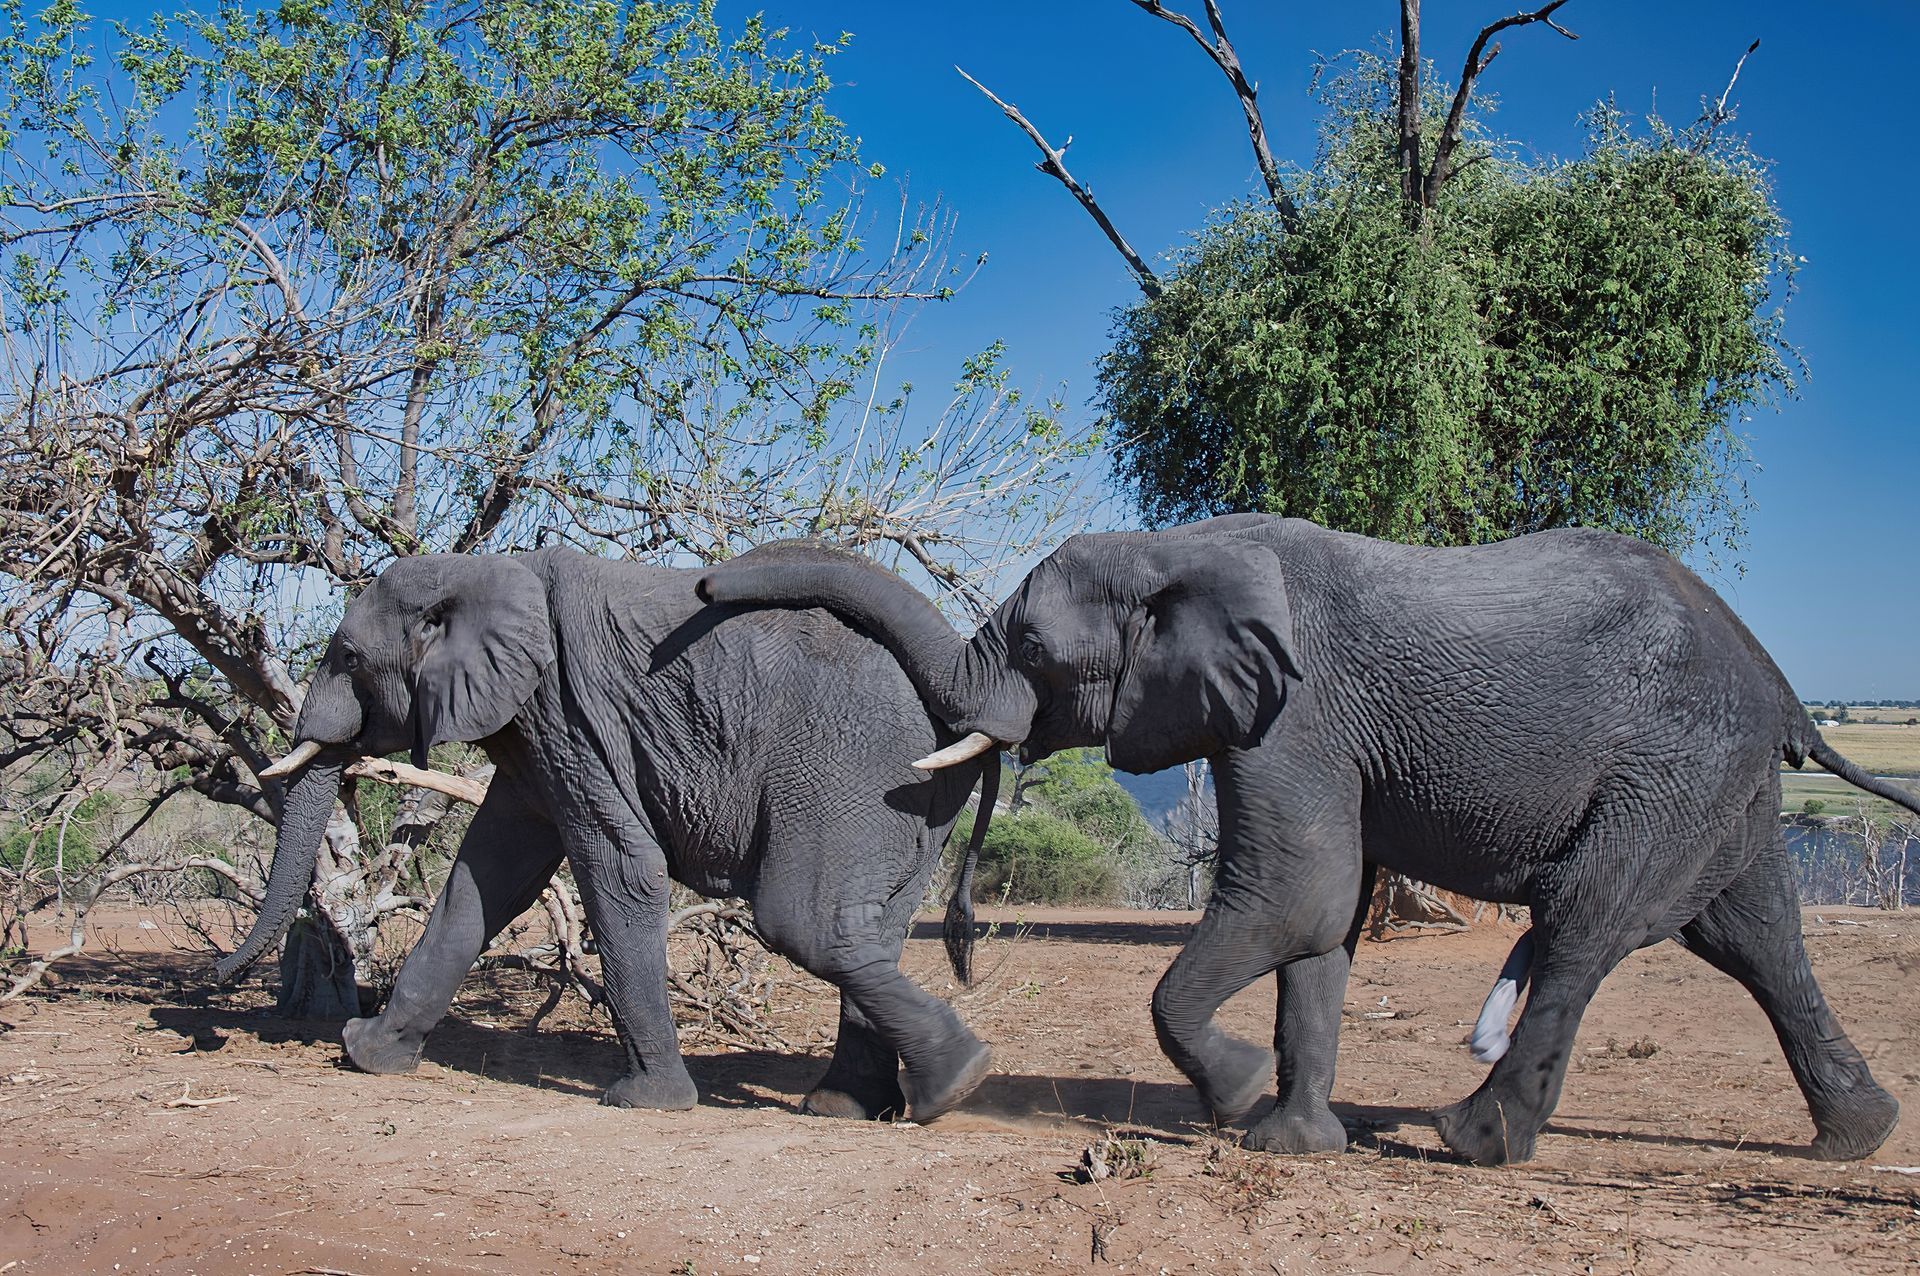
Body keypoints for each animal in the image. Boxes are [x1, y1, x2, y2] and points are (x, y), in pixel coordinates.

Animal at [221, 544, 997, 1122]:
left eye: (349, 658)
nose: (223, 976)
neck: (485, 570)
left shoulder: (568, 714)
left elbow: (622, 871)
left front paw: (646, 1102)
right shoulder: (533, 735)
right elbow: (487, 879)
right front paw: (366, 1055)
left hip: (851, 767)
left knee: (803, 922)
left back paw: (957, 1082)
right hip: (911, 795)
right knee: (869, 927)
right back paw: (865, 1103)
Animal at [695, 514, 1920, 1165]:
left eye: (1035, 648)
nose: (705, 581)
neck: (1177, 548)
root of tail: (1783, 687)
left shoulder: (1299, 714)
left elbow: (1297, 893)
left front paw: (1235, 1101)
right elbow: (1325, 923)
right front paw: (1293, 1141)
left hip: (1671, 766)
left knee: (1586, 925)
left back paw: (1469, 1139)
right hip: (1720, 784)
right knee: (1756, 936)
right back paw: (1855, 1138)